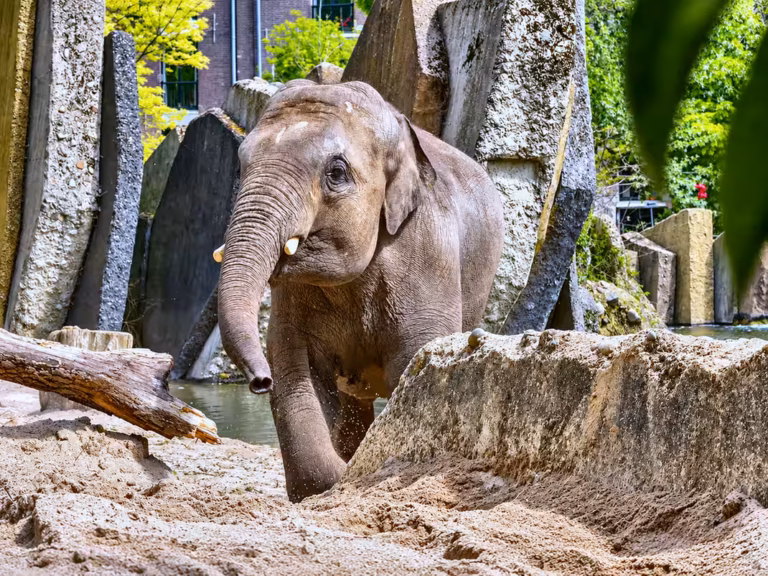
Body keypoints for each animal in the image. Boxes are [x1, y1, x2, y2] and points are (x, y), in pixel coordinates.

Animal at [218, 79, 504, 502]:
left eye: (336, 172)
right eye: (241, 164)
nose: (259, 381)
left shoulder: (426, 256)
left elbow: (417, 366)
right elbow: (294, 370)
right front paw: (334, 479)